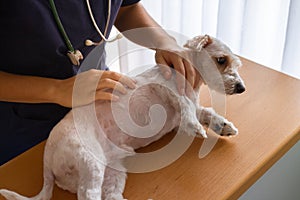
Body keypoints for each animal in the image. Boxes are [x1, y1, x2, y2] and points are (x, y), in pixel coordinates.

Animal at [0, 35, 245, 199]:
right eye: (221, 60)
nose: (241, 88)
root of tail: (47, 159)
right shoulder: (164, 89)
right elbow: (185, 105)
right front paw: (195, 126)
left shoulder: (185, 113)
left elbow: (207, 113)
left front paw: (224, 126)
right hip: (90, 164)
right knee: (88, 193)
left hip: (113, 173)